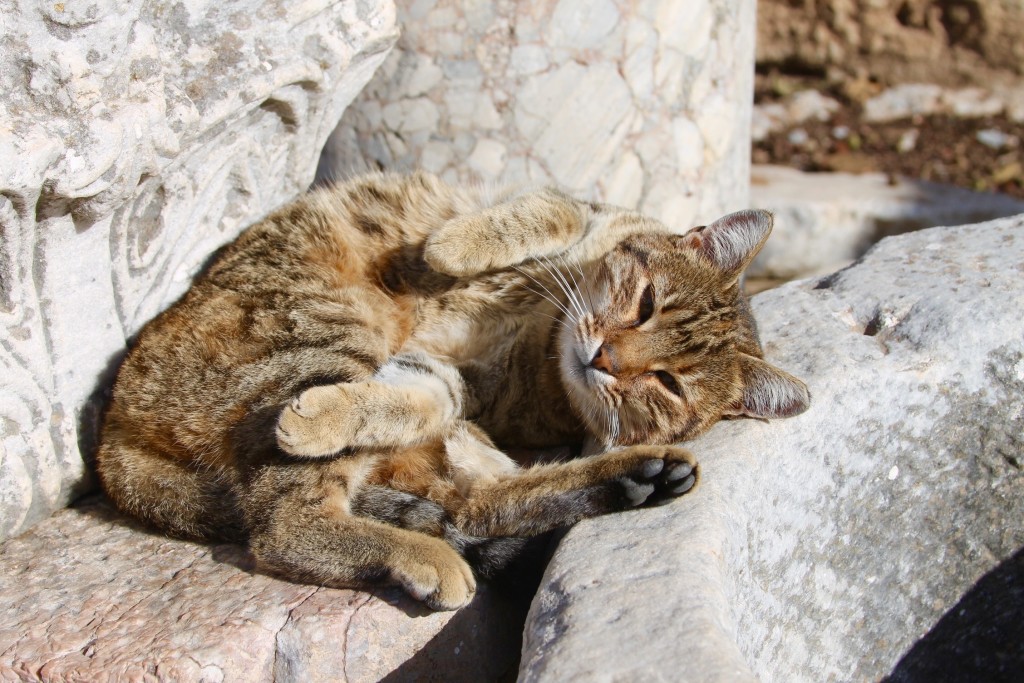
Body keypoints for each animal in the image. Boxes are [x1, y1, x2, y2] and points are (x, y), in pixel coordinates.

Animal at [97, 171, 806, 610]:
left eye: (666, 384)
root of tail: (111, 447)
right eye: (648, 303)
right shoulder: (569, 214)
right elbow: (556, 209)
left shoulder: (460, 386)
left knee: (312, 525)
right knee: (307, 521)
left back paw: (638, 476)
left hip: (359, 367)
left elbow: (418, 400)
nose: (604, 358)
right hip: (328, 328)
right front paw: (452, 245)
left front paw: (325, 416)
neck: (544, 337)